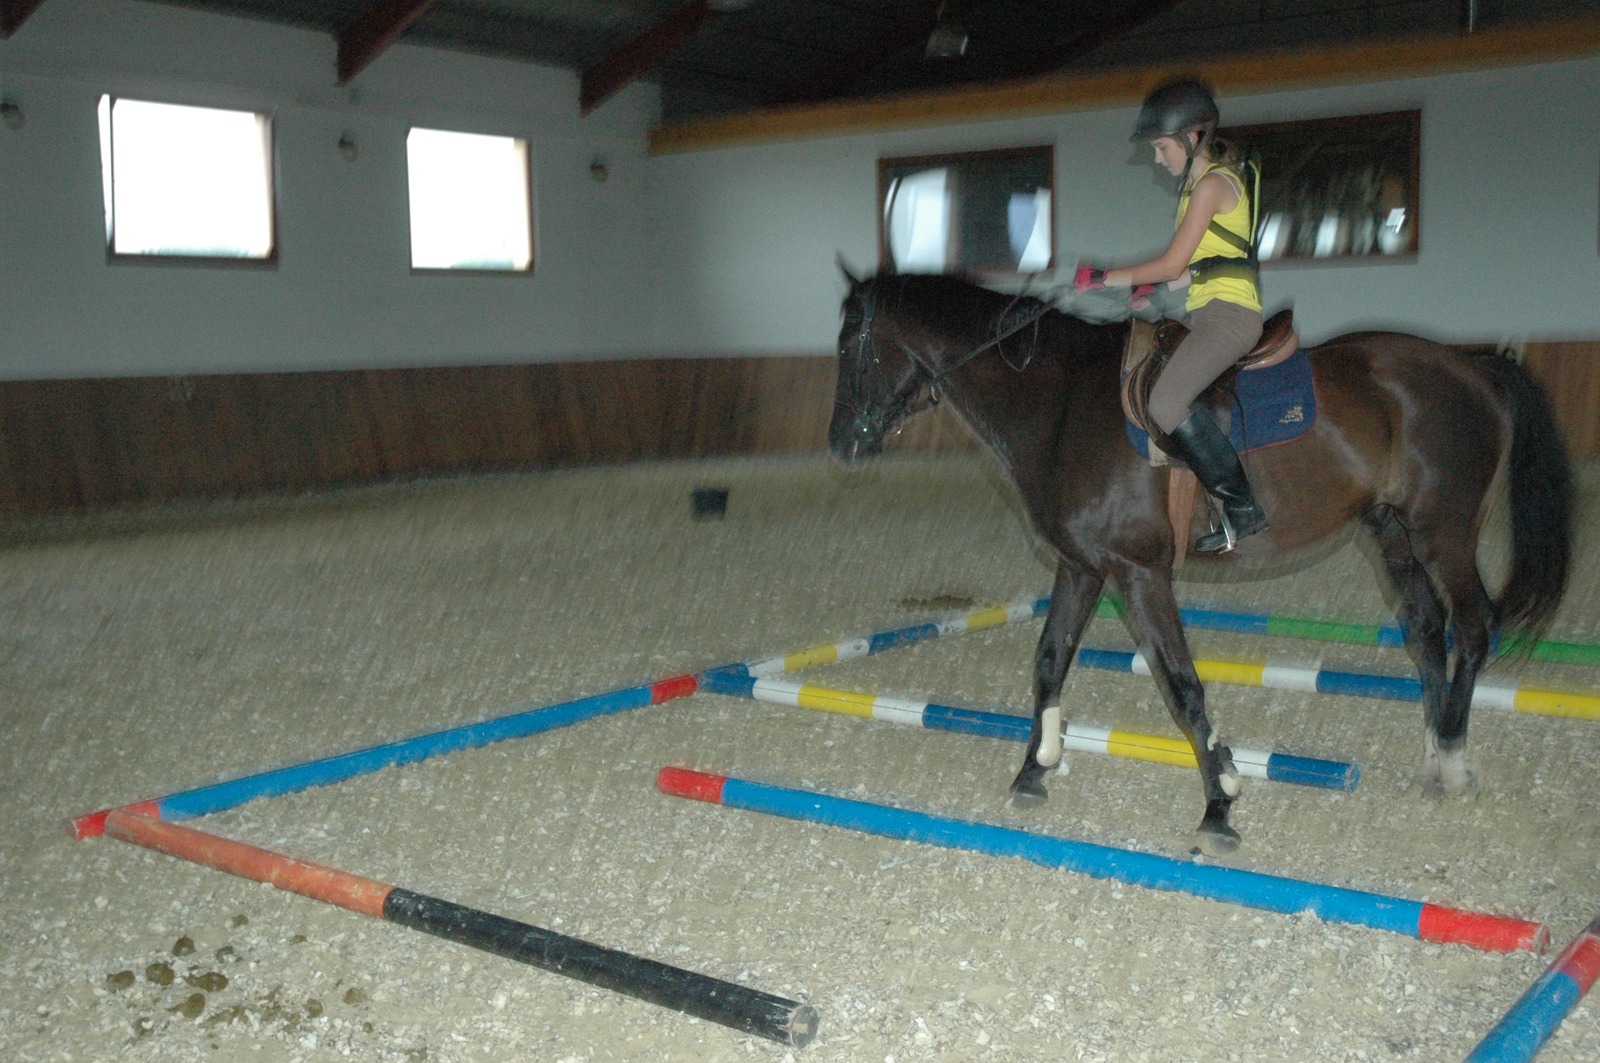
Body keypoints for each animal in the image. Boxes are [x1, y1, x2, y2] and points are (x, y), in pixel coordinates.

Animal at [828, 268, 1572, 855]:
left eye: (847, 343)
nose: (841, 443)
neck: (1061, 402)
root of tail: (1471, 363)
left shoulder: (1139, 572)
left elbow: (1182, 685)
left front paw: (1220, 803)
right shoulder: (1082, 567)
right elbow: (1049, 661)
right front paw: (1034, 769)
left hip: (1442, 533)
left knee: (1471, 629)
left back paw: (1455, 762)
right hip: (1392, 534)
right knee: (1425, 635)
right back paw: (1432, 758)